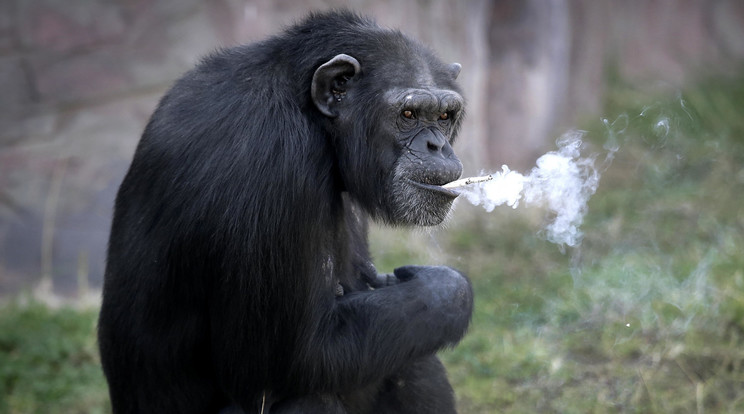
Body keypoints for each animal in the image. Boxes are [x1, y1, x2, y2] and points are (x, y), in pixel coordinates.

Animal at [99, 10, 474, 414]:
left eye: (444, 115)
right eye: (408, 113)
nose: (437, 146)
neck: (312, 117)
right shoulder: (278, 167)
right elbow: (293, 359)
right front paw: (445, 288)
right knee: (310, 396)